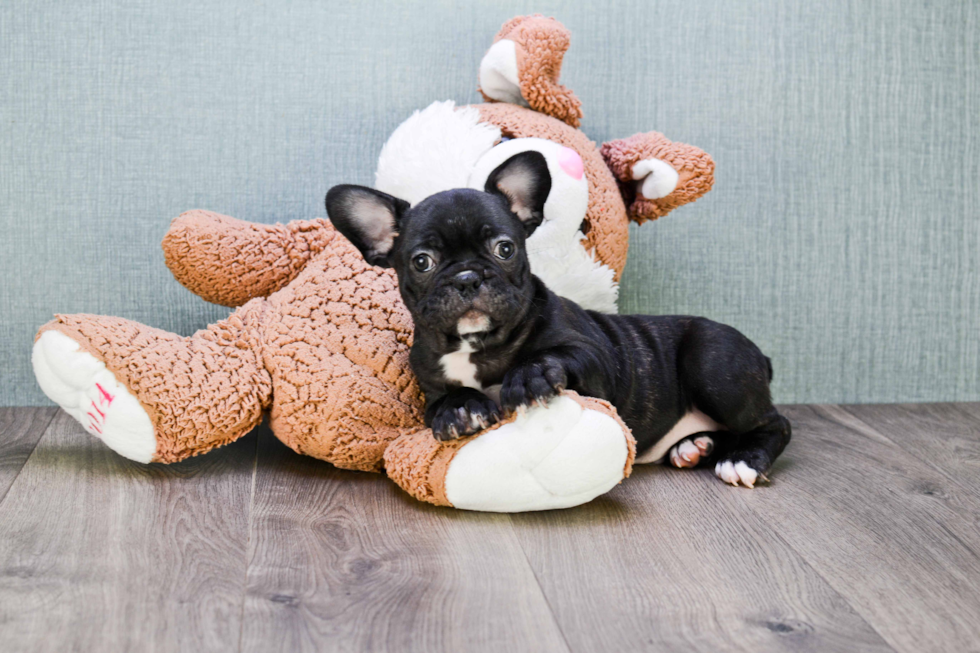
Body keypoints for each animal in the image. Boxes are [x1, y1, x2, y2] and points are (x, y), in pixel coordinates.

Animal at [326, 152, 792, 484]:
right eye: (422, 261)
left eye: (505, 248)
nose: (467, 277)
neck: (477, 344)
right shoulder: (429, 382)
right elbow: (442, 401)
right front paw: (460, 410)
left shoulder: (597, 357)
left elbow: (556, 356)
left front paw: (528, 377)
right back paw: (694, 447)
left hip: (714, 364)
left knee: (774, 422)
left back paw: (743, 460)